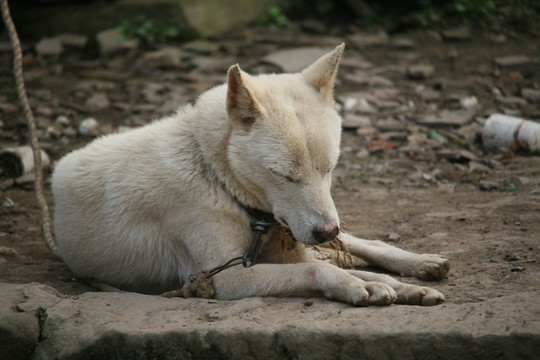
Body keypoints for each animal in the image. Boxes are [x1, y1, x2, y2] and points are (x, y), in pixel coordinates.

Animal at [51, 43, 448, 306]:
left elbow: (357, 266)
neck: (213, 174)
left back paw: (421, 264)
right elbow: (317, 271)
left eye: (330, 168)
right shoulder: (225, 277)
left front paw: (402, 286)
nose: (326, 231)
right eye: (284, 175)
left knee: (361, 244)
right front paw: (357, 285)